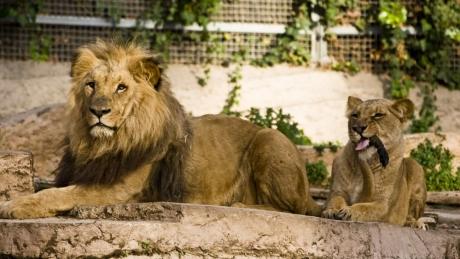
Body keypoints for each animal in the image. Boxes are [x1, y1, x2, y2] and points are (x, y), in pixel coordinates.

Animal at [0, 40, 320, 219]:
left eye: (121, 88)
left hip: (270, 138)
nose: (99, 111)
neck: (103, 144)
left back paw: (239, 207)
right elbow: (51, 188)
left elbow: (60, 194)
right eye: (91, 85)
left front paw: (14, 205)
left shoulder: (119, 188)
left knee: (296, 209)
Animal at [322, 97, 426, 228]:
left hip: (415, 166)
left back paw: (415, 224)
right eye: (355, 115)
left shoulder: (384, 205)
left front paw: (349, 211)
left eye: (378, 115)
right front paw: (331, 210)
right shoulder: (337, 191)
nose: (358, 128)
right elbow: (335, 200)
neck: (368, 161)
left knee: (410, 216)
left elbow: (364, 208)